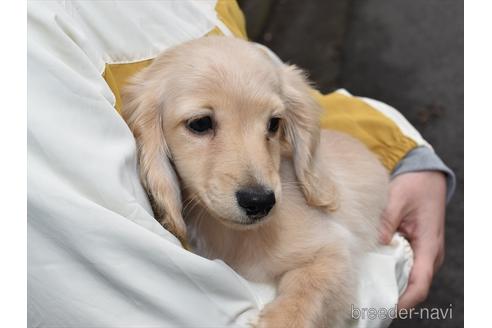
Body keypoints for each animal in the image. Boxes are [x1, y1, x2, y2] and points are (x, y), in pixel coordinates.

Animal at [120, 36, 388, 328]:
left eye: (274, 123)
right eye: (200, 123)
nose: (260, 202)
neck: (237, 237)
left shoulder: (334, 252)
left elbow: (307, 292)